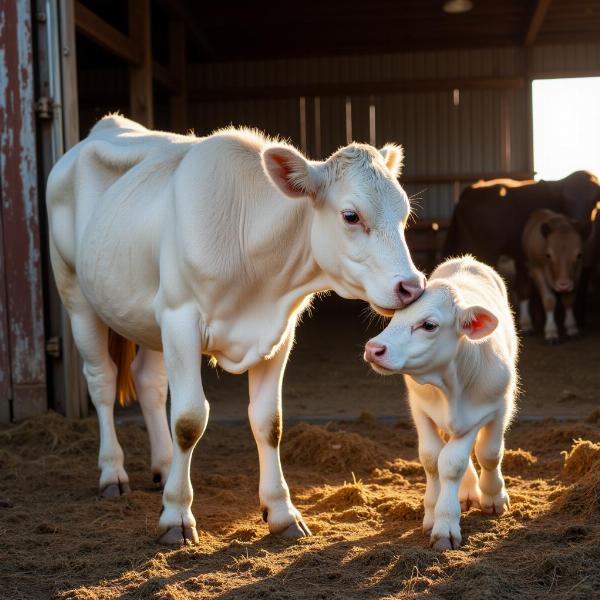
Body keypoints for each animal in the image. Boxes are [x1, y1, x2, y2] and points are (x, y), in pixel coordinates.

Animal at [364, 255, 516, 552]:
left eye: (429, 325)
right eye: (396, 317)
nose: (373, 349)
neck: (449, 386)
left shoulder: (494, 407)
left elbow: (482, 454)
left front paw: (491, 498)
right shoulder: (420, 408)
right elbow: (433, 458)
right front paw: (435, 513)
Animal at [520, 210, 580, 342]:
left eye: (579, 255)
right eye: (548, 255)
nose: (563, 285)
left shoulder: (577, 272)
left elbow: (569, 300)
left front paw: (572, 327)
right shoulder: (537, 270)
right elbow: (549, 300)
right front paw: (551, 332)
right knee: (524, 290)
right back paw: (526, 324)